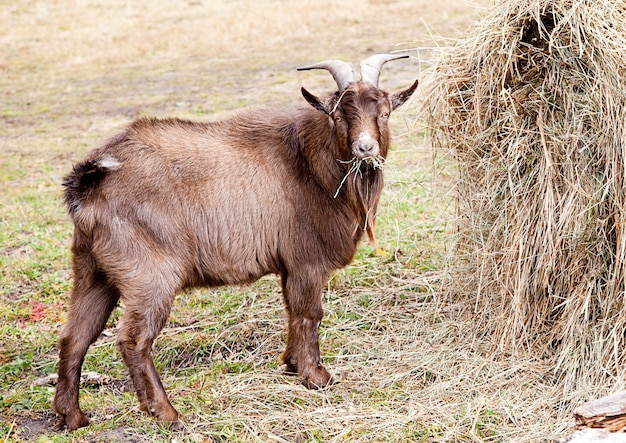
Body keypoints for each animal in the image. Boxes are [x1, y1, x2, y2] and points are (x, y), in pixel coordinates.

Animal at [52, 53, 414, 432]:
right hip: (149, 275)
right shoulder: (307, 261)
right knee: (134, 339)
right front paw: (316, 377)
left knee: (75, 336)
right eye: (338, 114)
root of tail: (91, 179)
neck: (312, 163)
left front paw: (290, 365)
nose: (365, 148)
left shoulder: (290, 267)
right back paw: (167, 413)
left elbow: (292, 312)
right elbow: (309, 314)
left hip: (93, 270)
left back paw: (73, 416)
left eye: (384, 112)